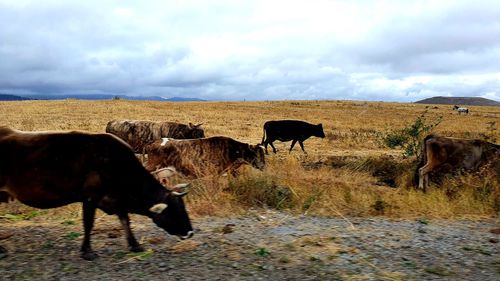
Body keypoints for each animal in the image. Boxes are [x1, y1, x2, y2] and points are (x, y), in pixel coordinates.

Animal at [0, 126, 193, 260]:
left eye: (183, 208)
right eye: (173, 211)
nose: (190, 233)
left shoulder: (116, 200)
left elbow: (125, 221)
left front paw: (135, 245)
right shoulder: (90, 198)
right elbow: (88, 224)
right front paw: (87, 251)